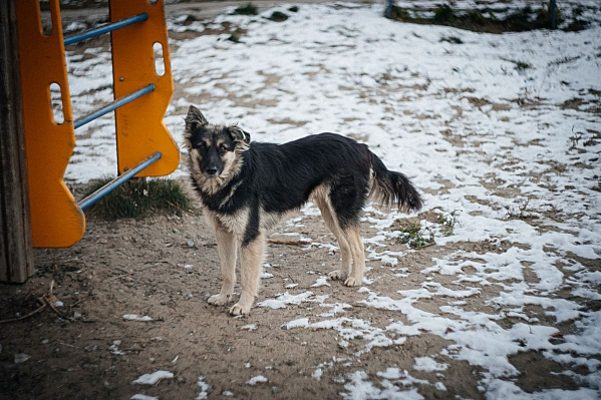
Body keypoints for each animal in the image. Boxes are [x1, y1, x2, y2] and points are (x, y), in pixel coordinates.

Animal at [183, 105, 422, 316]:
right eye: (202, 146)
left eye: (223, 148)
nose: (211, 170)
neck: (236, 175)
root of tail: (362, 146)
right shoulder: (223, 233)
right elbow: (227, 272)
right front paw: (223, 297)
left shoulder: (251, 236)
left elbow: (248, 278)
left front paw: (243, 306)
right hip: (329, 213)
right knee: (345, 244)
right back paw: (343, 273)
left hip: (342, 211)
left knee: (359, 247)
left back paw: (355, 278)